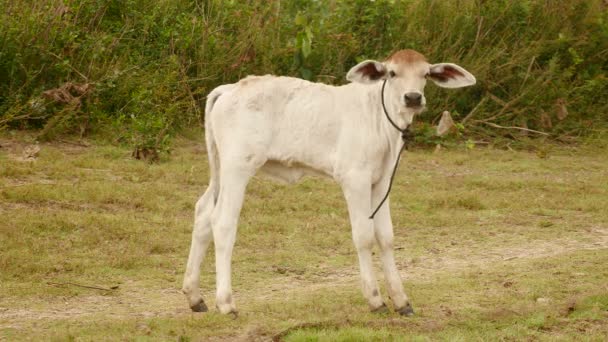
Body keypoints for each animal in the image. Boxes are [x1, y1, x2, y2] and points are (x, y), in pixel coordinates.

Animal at [180, 48, 476, 316]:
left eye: (425, 74)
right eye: (392, 73)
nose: (413, 97)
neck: (379, 119)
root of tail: (230, 88)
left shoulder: (381, 183)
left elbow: (386, 237)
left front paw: (401, 300)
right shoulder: (354, 179)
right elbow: (364, 236)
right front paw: (375, 299)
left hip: (221, 170)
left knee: (203, 213)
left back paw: (195, 297)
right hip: (237, 167)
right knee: (222, 222)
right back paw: (226, 303)